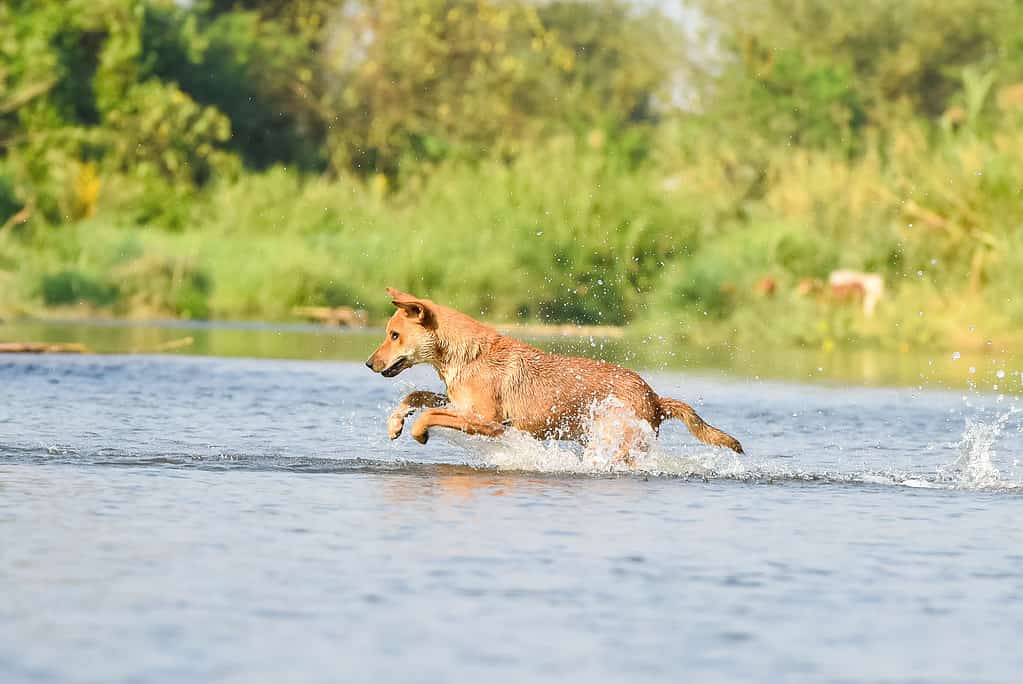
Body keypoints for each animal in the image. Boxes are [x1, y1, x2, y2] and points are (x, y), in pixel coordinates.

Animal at [368, 288, 744, 458]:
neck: (465, 355)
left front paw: (418, 432)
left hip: (613, 443)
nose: (369, 364)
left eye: (394, 335)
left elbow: (429, 413)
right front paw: (395, 422)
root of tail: (655, 398)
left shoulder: (488, 421)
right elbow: (416, 396)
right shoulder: (459, 404)